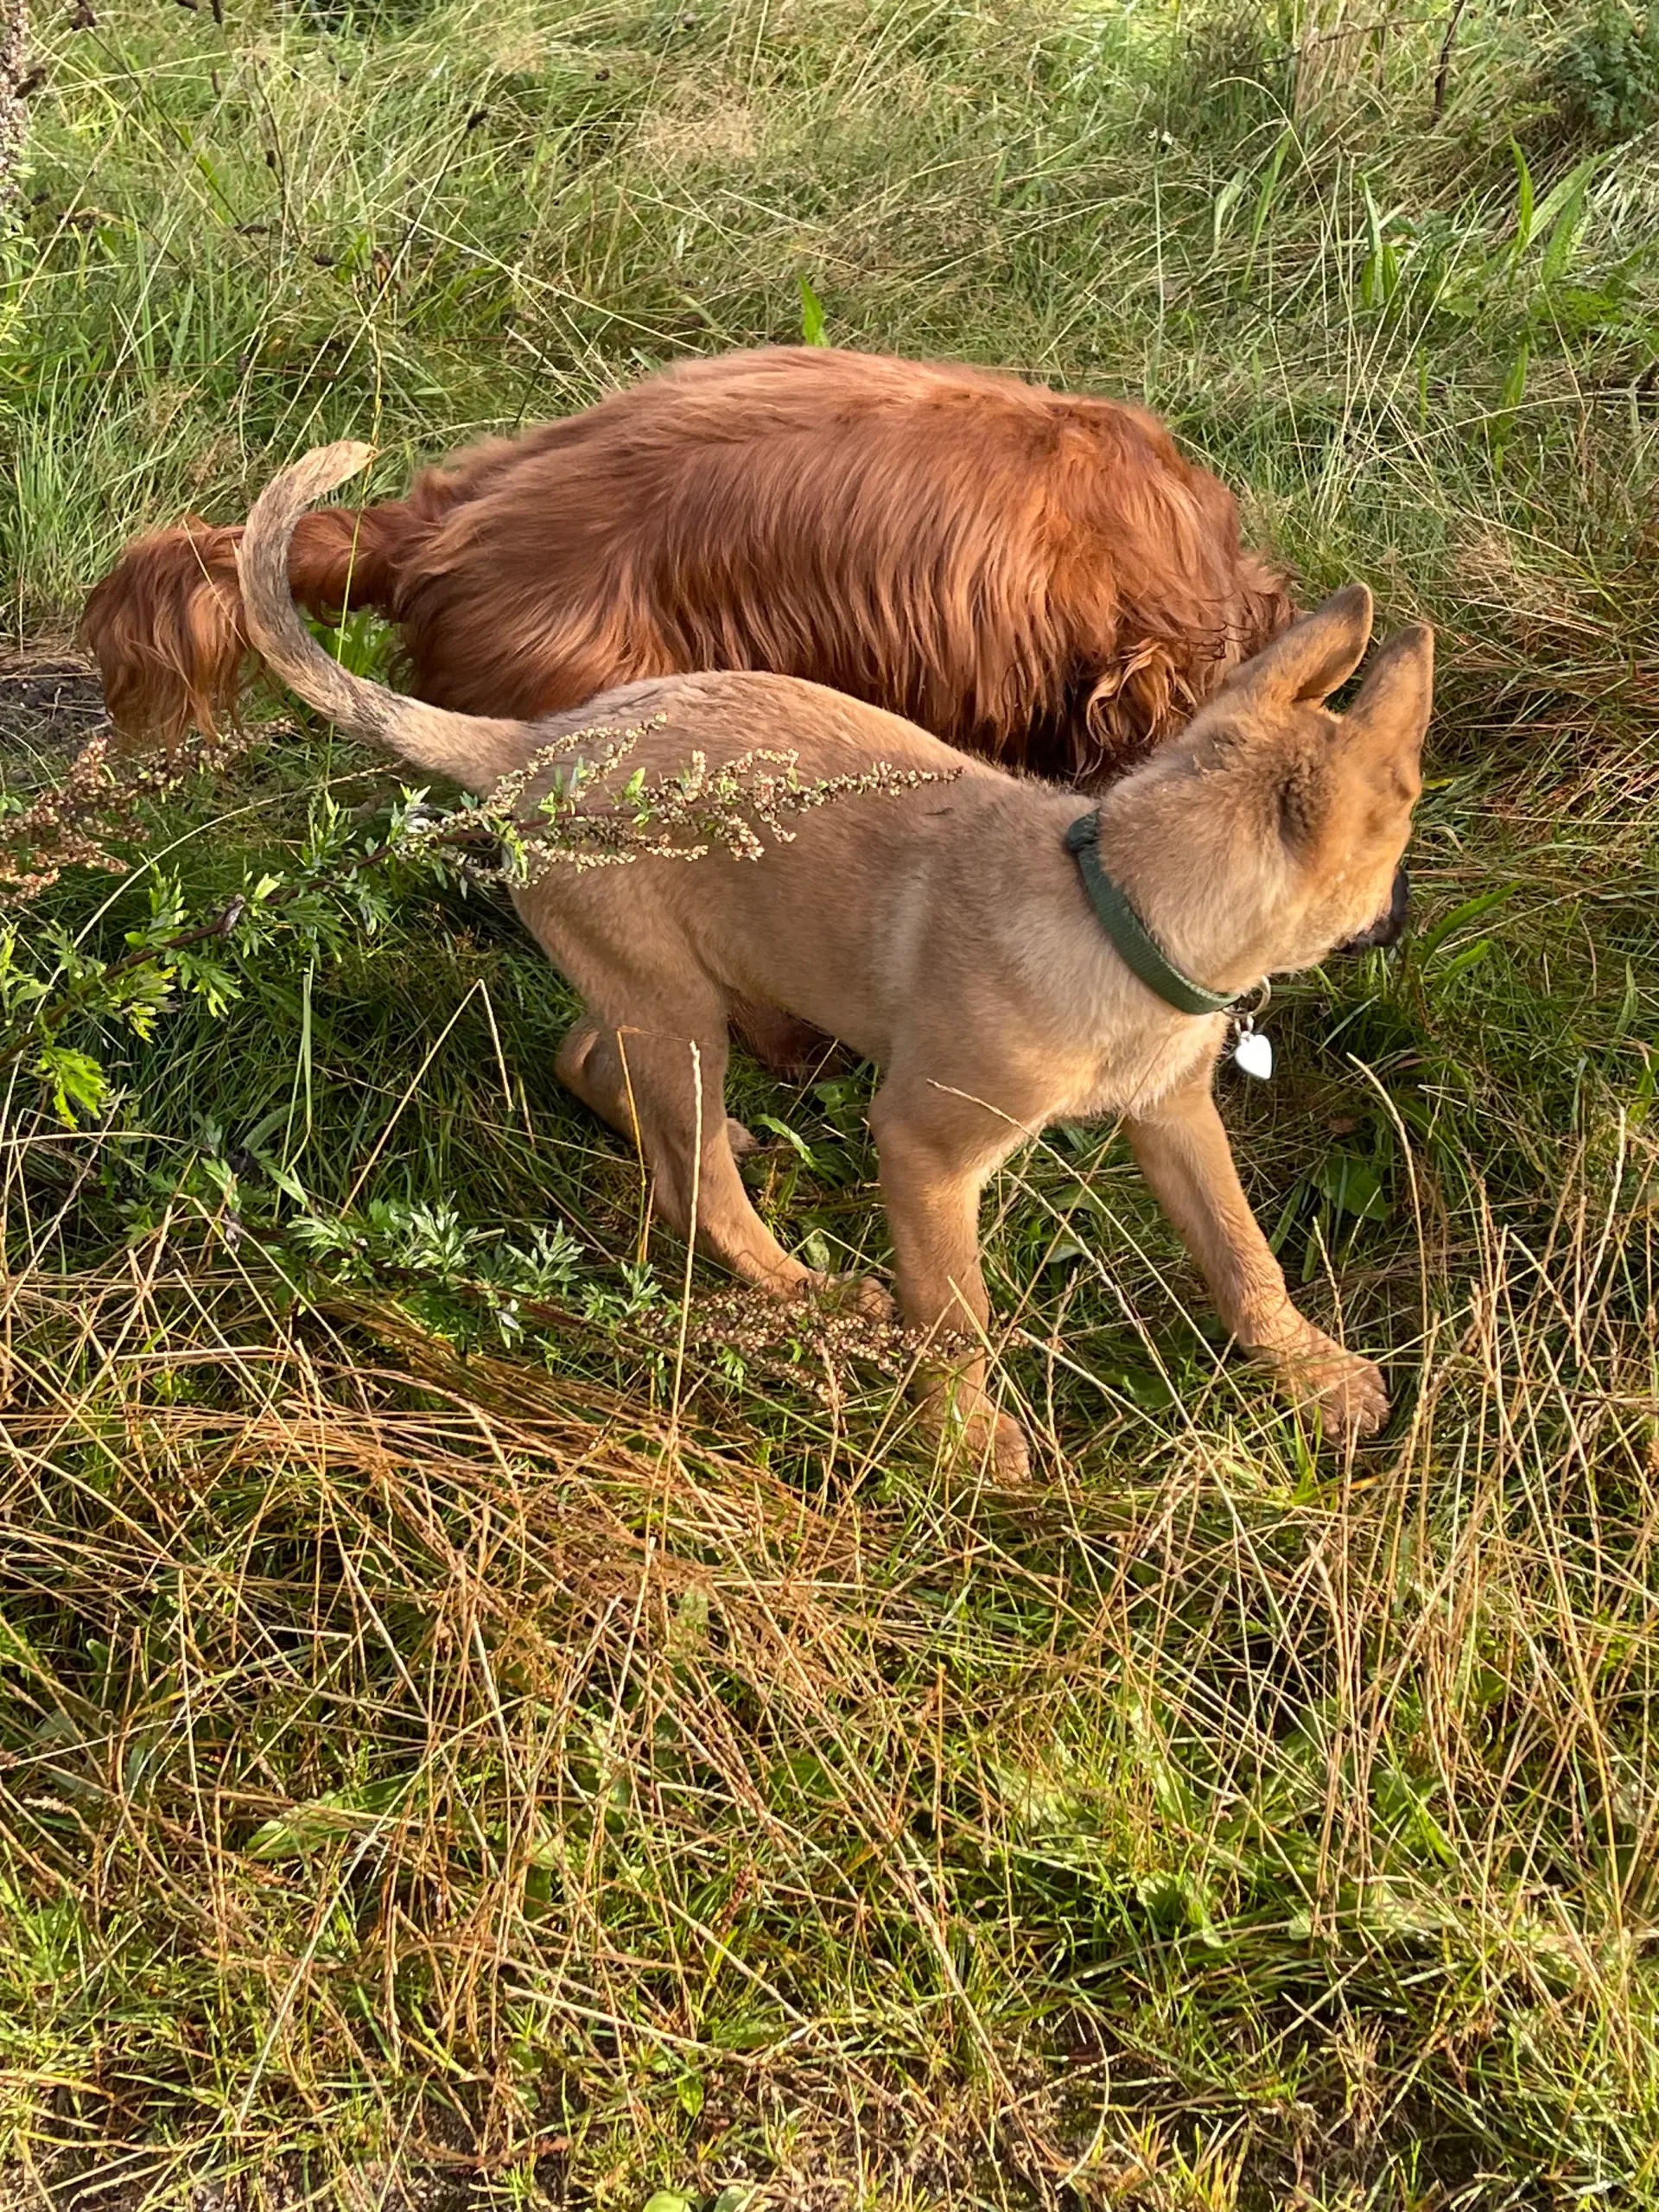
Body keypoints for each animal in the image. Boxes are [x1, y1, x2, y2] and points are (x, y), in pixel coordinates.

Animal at [236, 444, 1442, 1468]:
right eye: (1402, 831)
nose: (1406, 912)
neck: (1116, 904)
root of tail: (532, 746)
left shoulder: (1174, 1115)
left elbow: (1245, 1252)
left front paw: (1314, 1372)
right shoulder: (925, 1151)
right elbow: (956, 1311)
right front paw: (966, 1437)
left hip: (677, 975)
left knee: (598, 1067)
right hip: (681, 1003)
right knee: (693, 1191)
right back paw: (801, 1289)